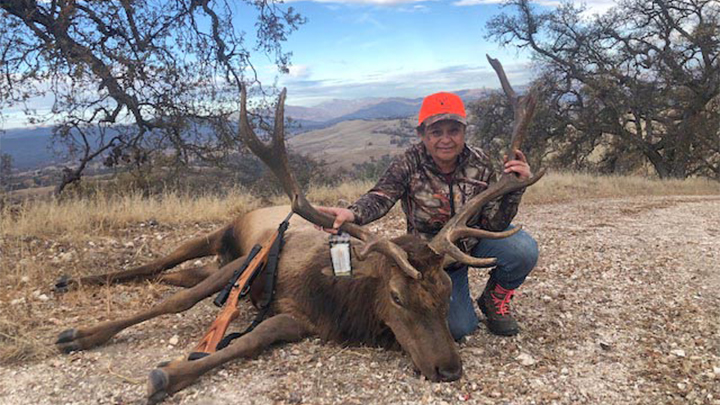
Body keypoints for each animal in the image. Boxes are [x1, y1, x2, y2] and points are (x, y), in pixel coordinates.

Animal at [53, 56, 544, 400]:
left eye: (444, 293)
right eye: (396, 296)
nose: (449, 369)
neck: (333, 294)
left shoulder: (299, 319)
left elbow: (255, 338)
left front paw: (169, 373)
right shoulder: (245, 264)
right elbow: (177, 304)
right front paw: (82, 336)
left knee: (179, 272)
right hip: (222, 234)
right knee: (165, 261)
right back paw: (73, 279)